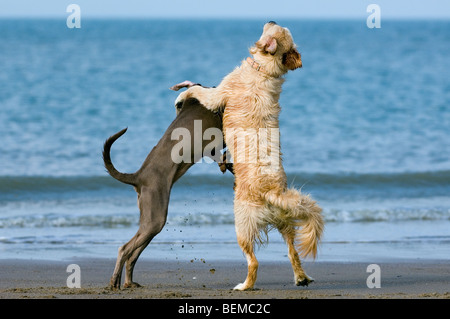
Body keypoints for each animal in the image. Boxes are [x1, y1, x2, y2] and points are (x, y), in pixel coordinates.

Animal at [173, 21, 324, 292]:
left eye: (277, 28)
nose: (271, 20)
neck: (265, 71)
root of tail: (272, 192)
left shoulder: (218, 94)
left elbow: (199, 91)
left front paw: (183, 94)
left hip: (242, 225)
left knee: (253, 262)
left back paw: (244, 286)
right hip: (284, 222)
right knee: (292, 252)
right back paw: (301, 277)